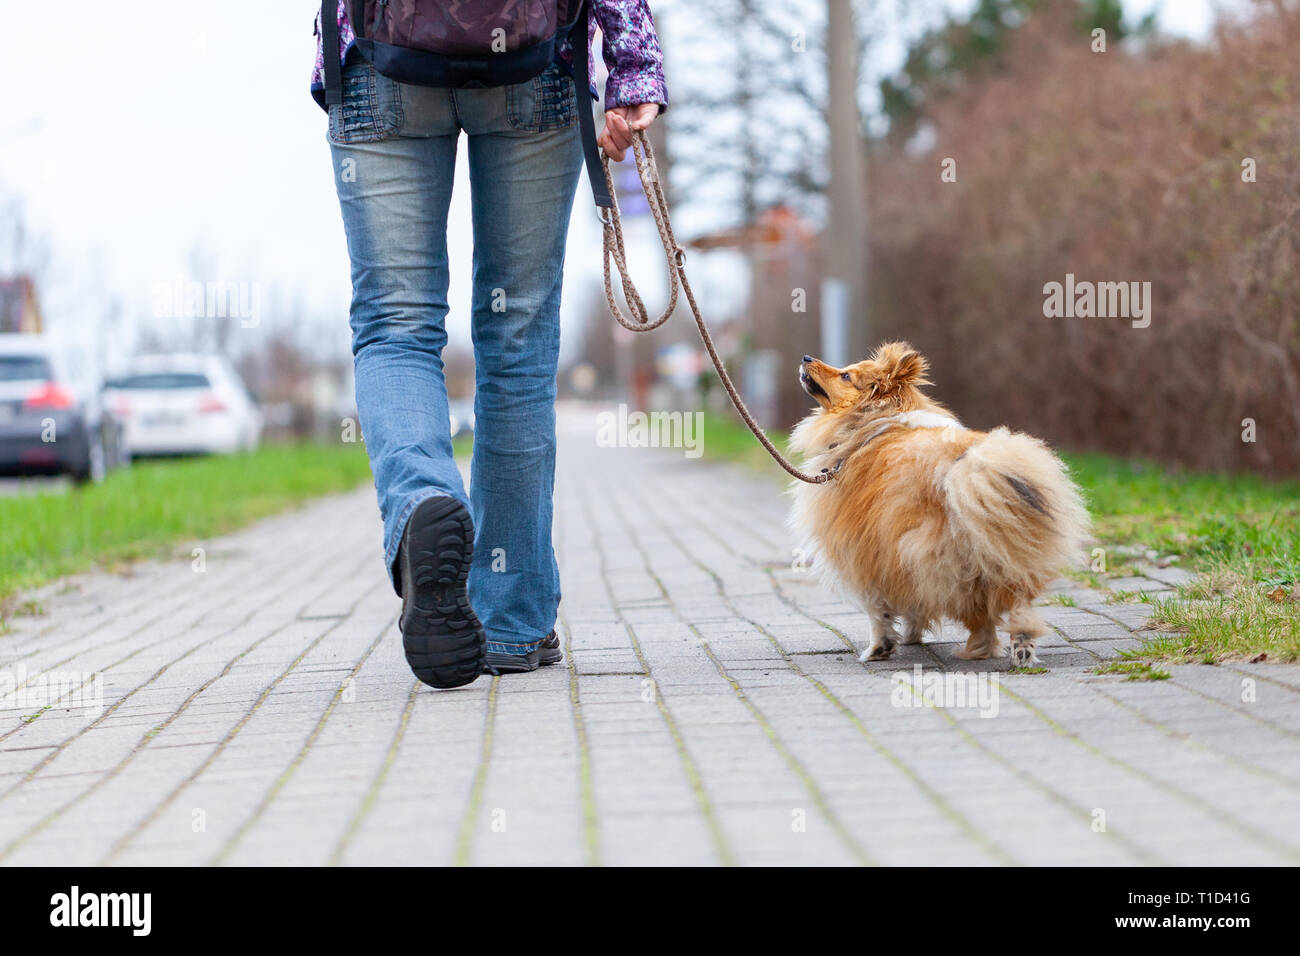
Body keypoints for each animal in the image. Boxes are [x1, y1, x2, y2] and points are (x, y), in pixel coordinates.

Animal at [785, 343, 1092, 665]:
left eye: (846, 375)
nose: (806, 357)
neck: (874, 421)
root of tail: (966, 465)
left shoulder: (865, 552)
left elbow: (878, 610)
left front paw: (881, 647)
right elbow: (912, 605)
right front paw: (911, 635)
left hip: (939, 558)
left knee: (978, 616)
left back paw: (976, 649)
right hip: (1004, 555)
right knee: (1017, 607)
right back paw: (1020, 649)